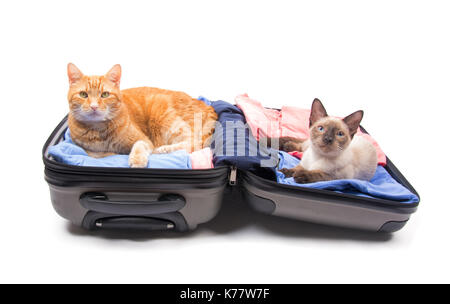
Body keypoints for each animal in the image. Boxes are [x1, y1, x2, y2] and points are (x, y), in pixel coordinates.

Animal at [65, 63, 218, 167]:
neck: (99, 131)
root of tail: (207, 105)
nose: (94, 106)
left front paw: (137, 160)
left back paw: (163, 150)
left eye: (105, 94)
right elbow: (98, 154)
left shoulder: (144, 140)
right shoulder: (86, 149)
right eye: (83, 95)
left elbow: (139, 145)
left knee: (195, 144)